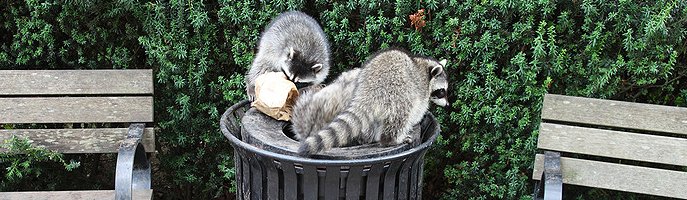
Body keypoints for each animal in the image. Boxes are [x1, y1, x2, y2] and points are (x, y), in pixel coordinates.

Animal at [296, 48, 448, 156]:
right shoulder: (420, 89)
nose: (447, 105)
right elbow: (418, 110)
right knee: (400, 117)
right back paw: (391, 139)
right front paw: (416, 120)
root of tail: (371, 89)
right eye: (442, 91)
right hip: (399, 93)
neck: (424, 67)